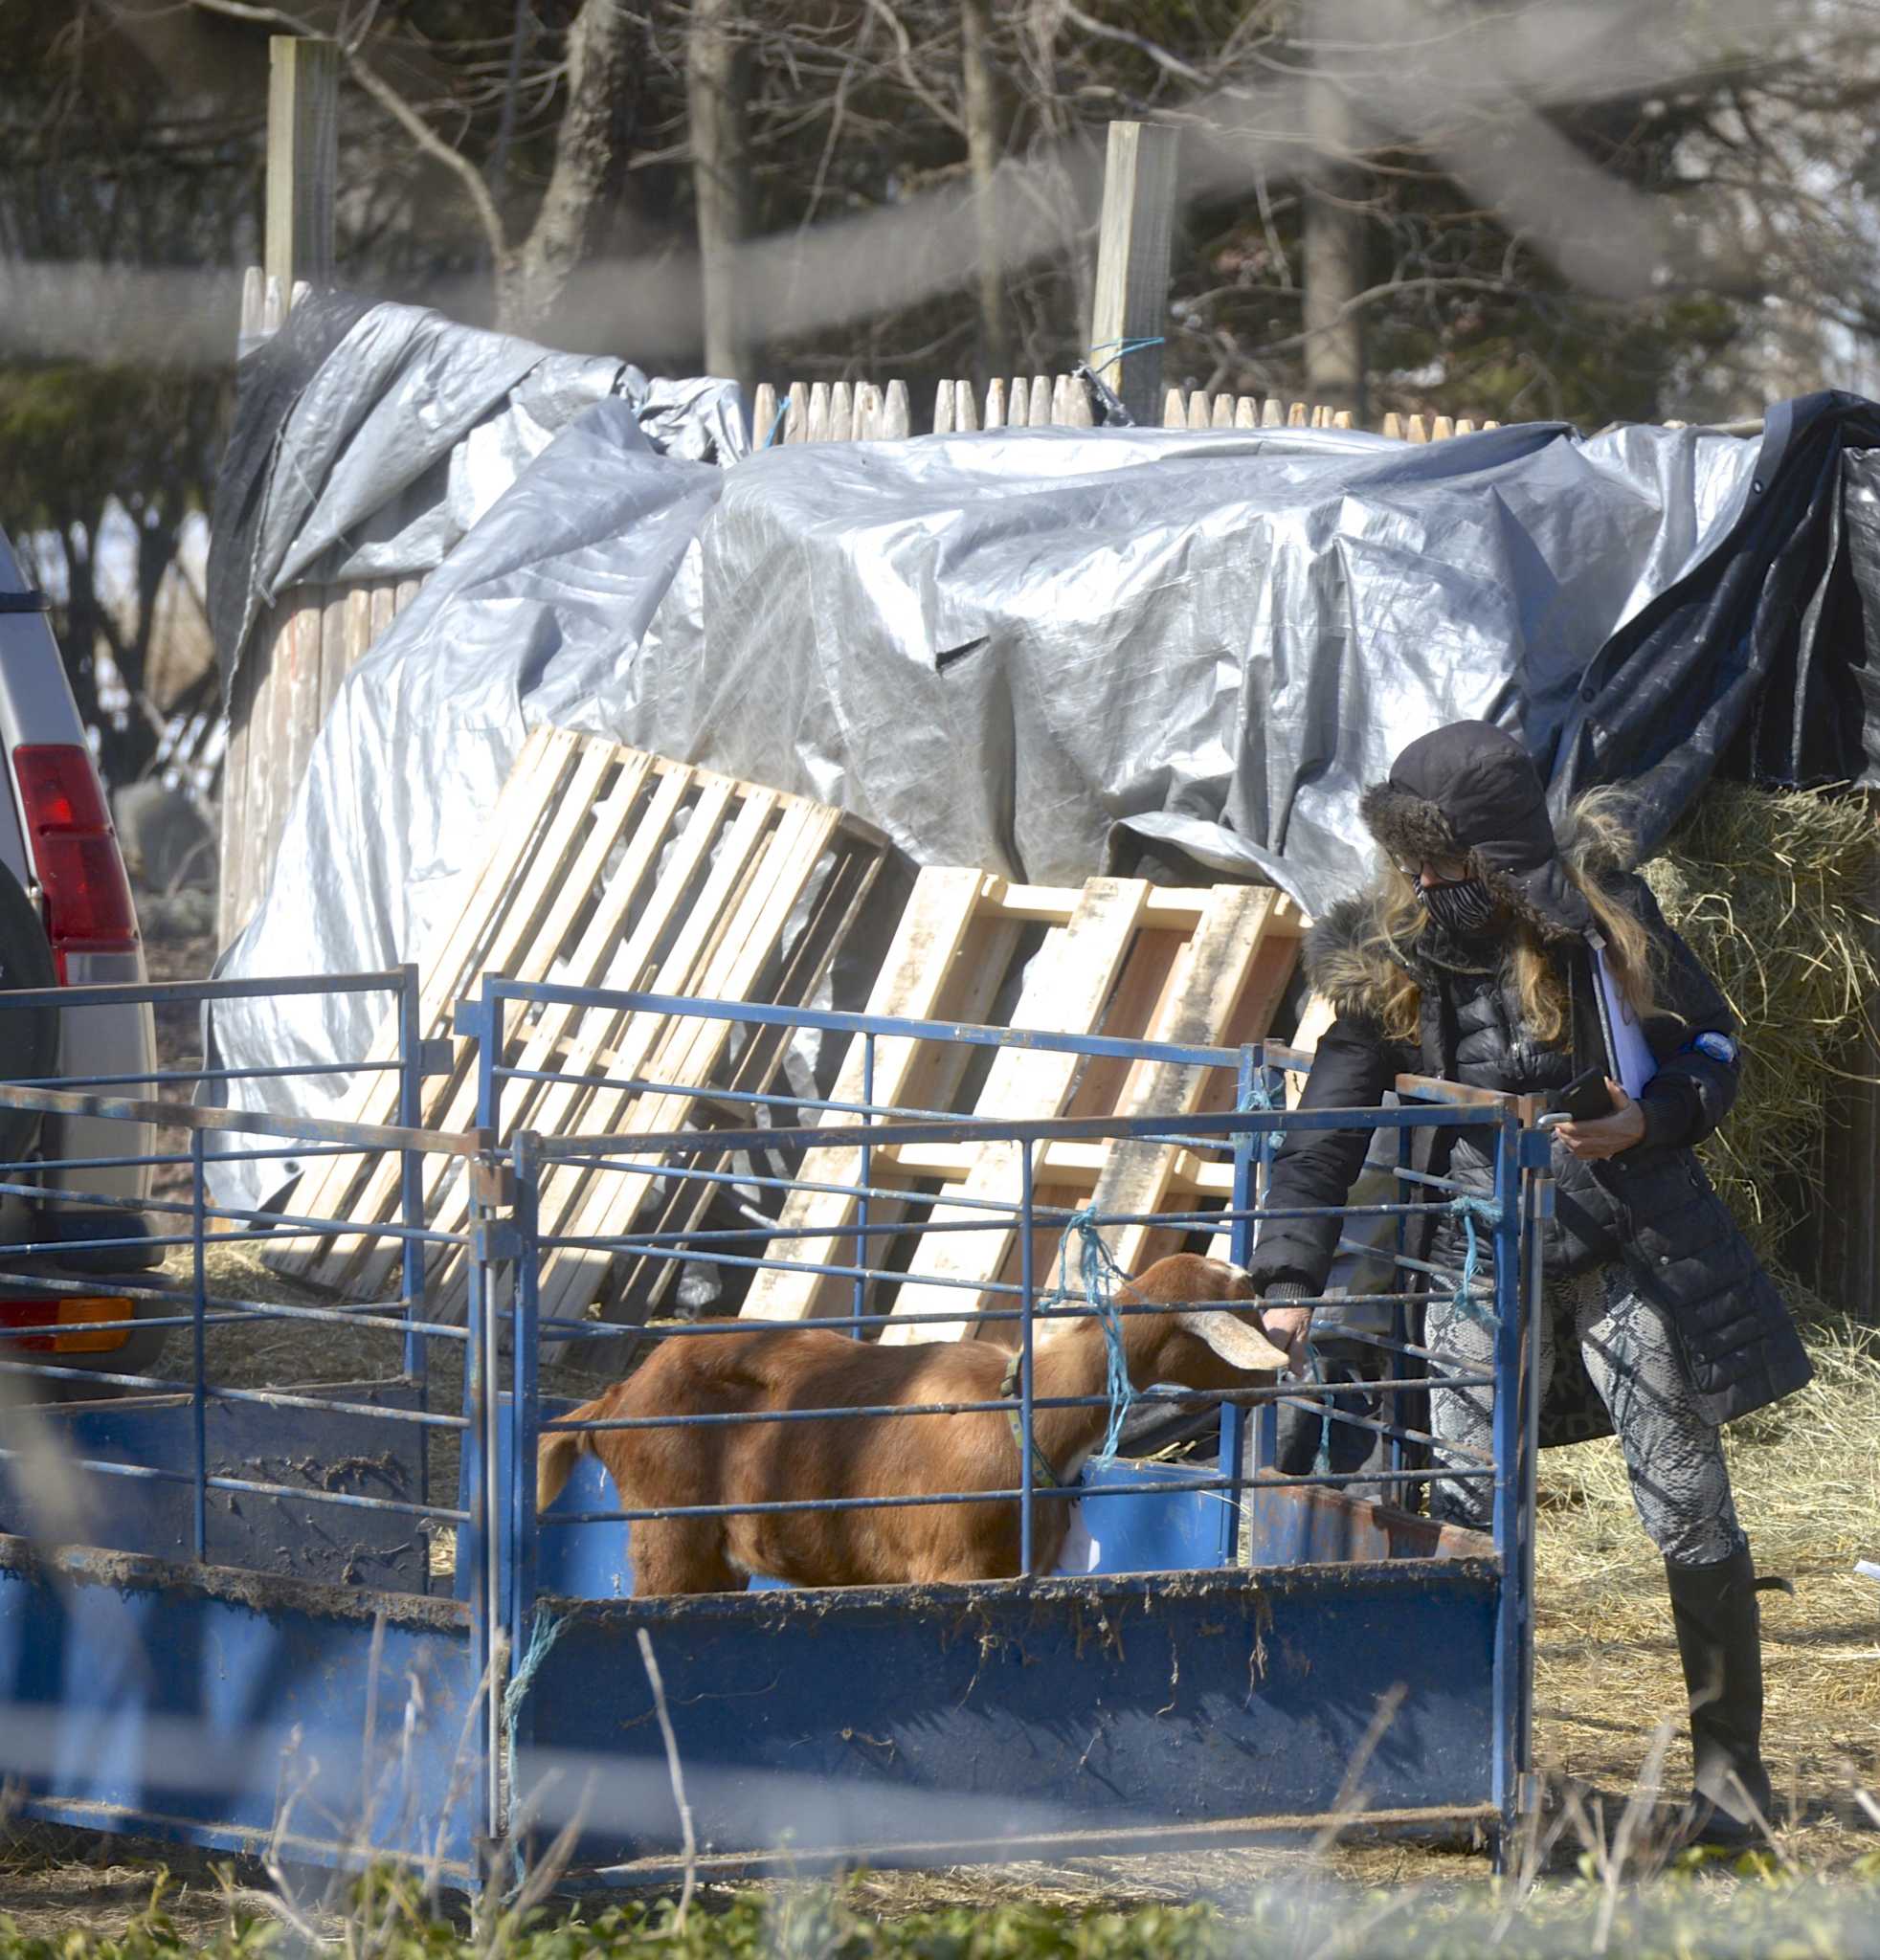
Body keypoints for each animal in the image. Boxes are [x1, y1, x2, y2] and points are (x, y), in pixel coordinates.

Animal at [537, 1254, 1286, 1591]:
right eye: (1243, 1308)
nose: (1285, 1369)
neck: (1026, 1420)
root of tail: (618, 1396)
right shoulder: (951, 1571)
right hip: (669, 1535)